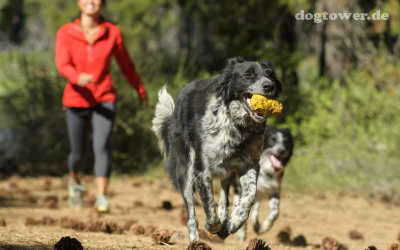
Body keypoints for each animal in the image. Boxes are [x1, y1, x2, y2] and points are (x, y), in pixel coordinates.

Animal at [152, 57, 282, 242]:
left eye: (270, 75)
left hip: (226, 171)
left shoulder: (249, 165)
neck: (237, 126)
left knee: (223, 198)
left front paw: (234, 222)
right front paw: (212, 226)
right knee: (191, 218)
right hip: (186, 172)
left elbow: (249, 196)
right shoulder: (201, 171)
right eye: (248, 74)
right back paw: (196, 241)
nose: (269, 86)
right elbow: (209, 210)